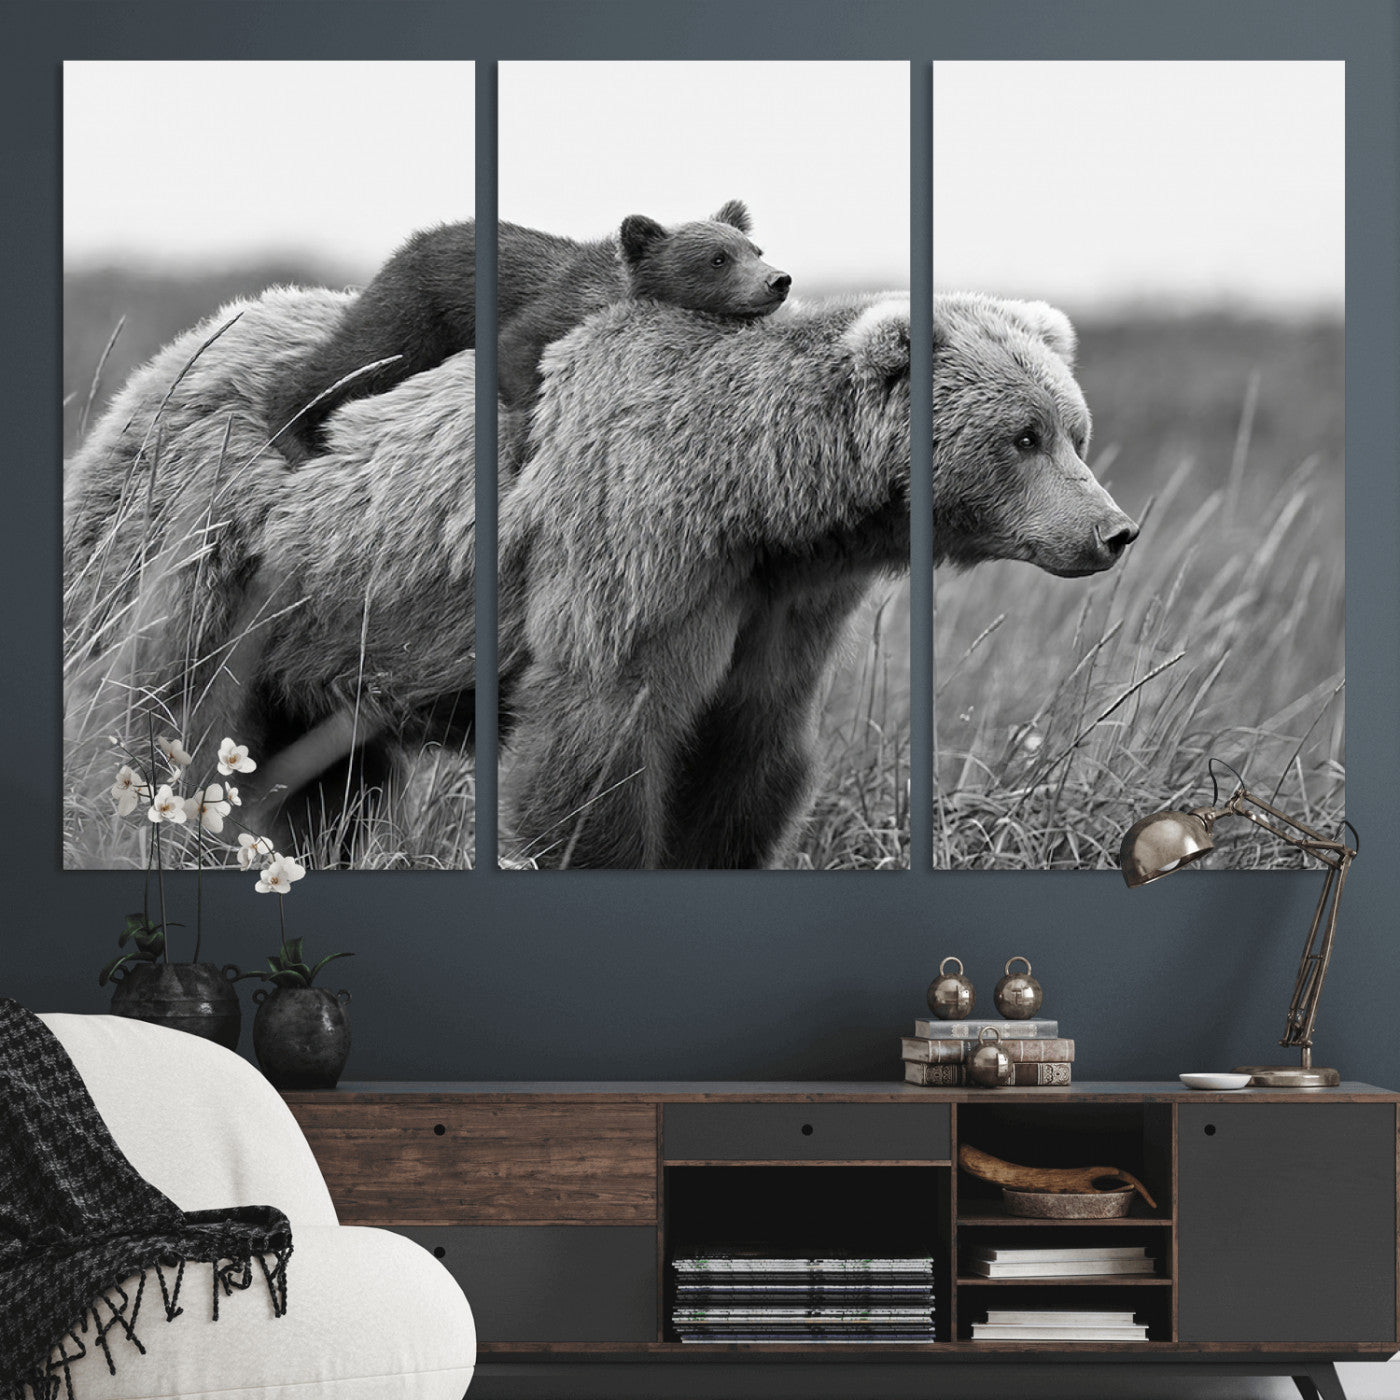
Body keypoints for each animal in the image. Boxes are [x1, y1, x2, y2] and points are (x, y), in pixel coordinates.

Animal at [265, 200, 790, 463]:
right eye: (717, 259)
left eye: (755, 249)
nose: (778, 281)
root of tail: (409, 243)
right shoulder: (553, 308)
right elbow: (517, 350)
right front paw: (523, 441)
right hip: (416, 310)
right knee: (357, 358)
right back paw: (294, 434)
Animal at [496, 292, 1138, 869]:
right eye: (1025, 436)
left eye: (1076, 434)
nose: (1115, 530)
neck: (759, 503)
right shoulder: (642, 562)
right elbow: (603, 740)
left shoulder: (785, 605)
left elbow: (744, 762)